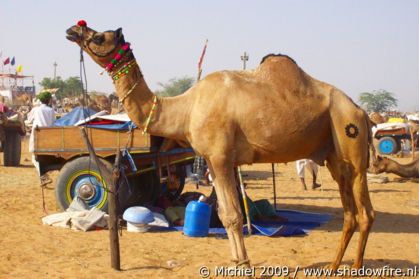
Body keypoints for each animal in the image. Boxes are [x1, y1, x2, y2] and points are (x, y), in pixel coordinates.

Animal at [67, 22, 376, 274]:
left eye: (99, 36)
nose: (73, 29)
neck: (186, 108)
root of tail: (361, 111)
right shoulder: (212, 162)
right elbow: (227, 215)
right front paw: (236, 261)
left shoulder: (221, 157)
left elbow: (234, 215)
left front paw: (244, 265)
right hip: (334, 155)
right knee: (349, 212)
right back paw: (334, 266)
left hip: (350, 137)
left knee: (365, 212)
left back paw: (356, 268)